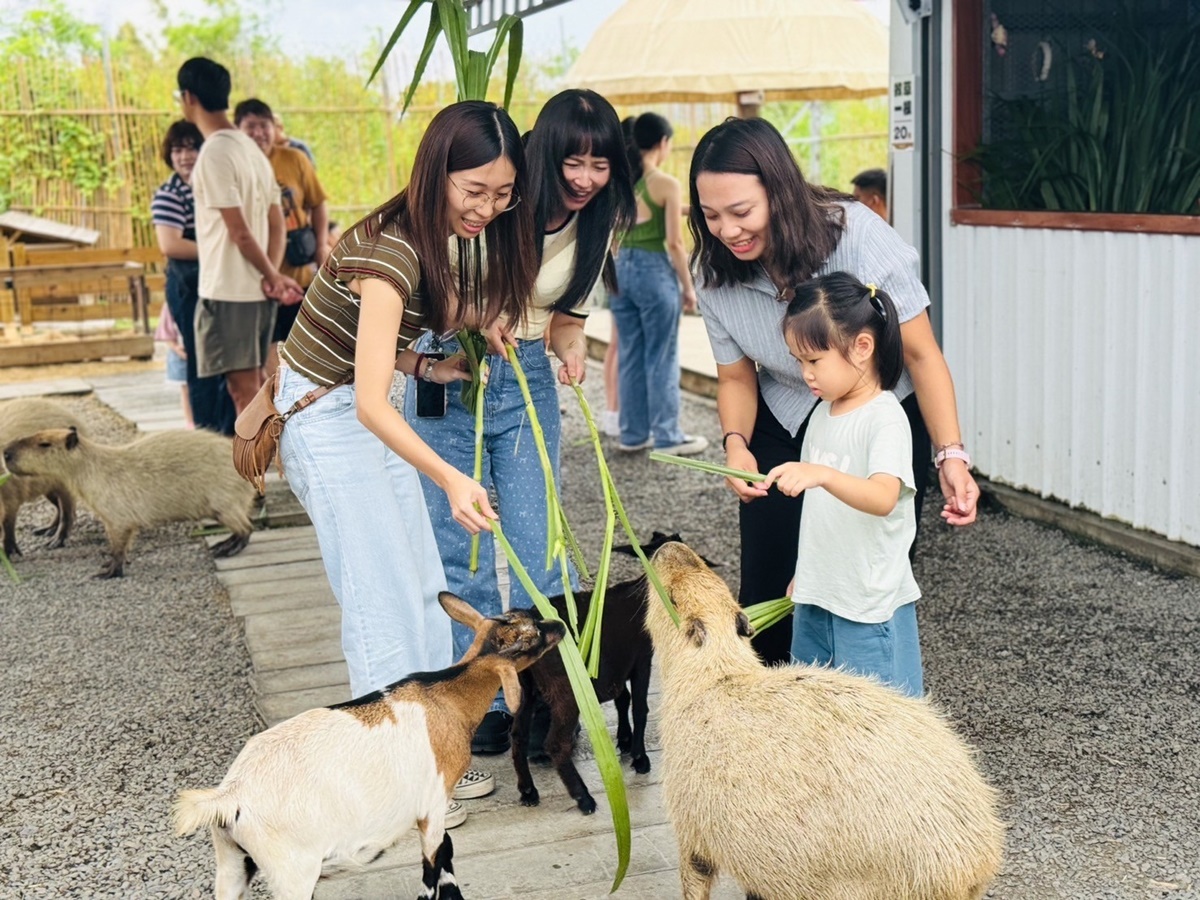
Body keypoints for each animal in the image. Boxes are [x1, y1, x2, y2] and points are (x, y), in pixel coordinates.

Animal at [171, 592, 564, 900]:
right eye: (533, 636)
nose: (559, 624)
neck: (448, 698)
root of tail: (231, 794)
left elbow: (445, 852)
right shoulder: (433, 802)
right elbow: (435, 861)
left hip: (231, 863)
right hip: (292, 869)